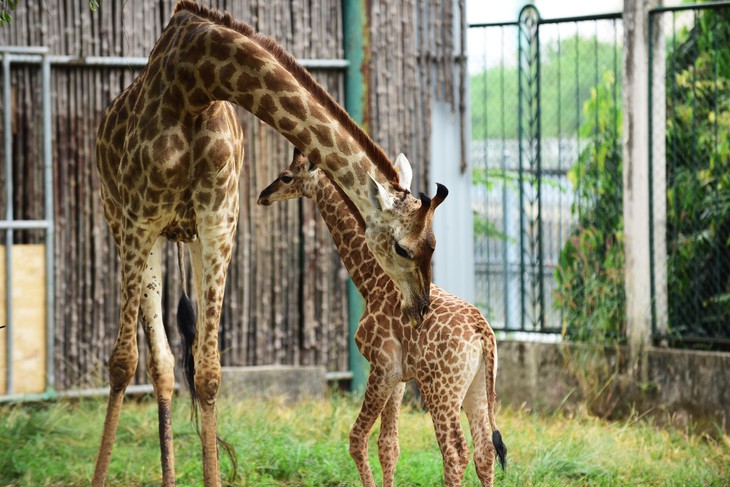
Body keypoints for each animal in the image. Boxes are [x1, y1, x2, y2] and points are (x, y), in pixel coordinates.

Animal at [258, 150, 504, 487]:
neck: (370, 279)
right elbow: (389, 445)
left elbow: (356, 438)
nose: (263, 195)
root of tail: (483, 334)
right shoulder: (399, 377)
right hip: (477, 385)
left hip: (441, 390)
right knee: (484, 450)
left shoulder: (382, 367)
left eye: (286, 176)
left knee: (455, 451)